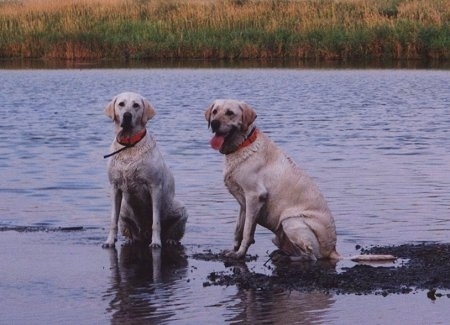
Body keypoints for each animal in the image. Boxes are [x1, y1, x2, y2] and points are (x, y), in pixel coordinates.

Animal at [102, 91, 186, 248]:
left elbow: (156, 222)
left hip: (180, 208)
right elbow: (112, 220)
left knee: (174, 231)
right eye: (121, 104)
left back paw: (170, 240)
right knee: (131, 231)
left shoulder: (155, 187)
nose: (127, 115)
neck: (129, 145)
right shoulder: (115, 187)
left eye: (136, 105)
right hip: (124, 210)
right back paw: (131, 240)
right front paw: (109, 241)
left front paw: (156, 242)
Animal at [206, 98, 396, 260]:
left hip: (291, 221)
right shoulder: (244, 203)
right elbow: (238, 229)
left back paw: (291, 258)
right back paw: (281, 254)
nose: (214, 123)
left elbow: (246, 232)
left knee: (310, 256)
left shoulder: (254, 196)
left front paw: (240, 253)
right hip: (280, 234)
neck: (243, 145)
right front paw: (233, 250)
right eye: (215, 111)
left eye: (230, 113)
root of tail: (332, 249)